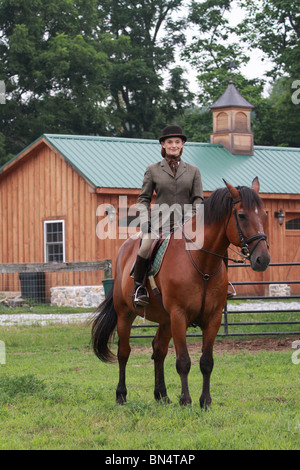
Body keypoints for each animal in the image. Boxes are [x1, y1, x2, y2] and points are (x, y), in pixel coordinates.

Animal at [91, 177, 270, 408]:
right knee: (124, 352)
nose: (263, 259)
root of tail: (124, 248)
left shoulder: (212, 318)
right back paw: (121, 394)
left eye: (264, 214)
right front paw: (186, 400)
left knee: (158, 351)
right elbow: (183, 361)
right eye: (242, 215)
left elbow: (206, 362)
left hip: (165, 320)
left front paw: (205, 402)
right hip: (126, 314)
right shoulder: (179, 316)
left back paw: (162, 395)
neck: (202, 264)